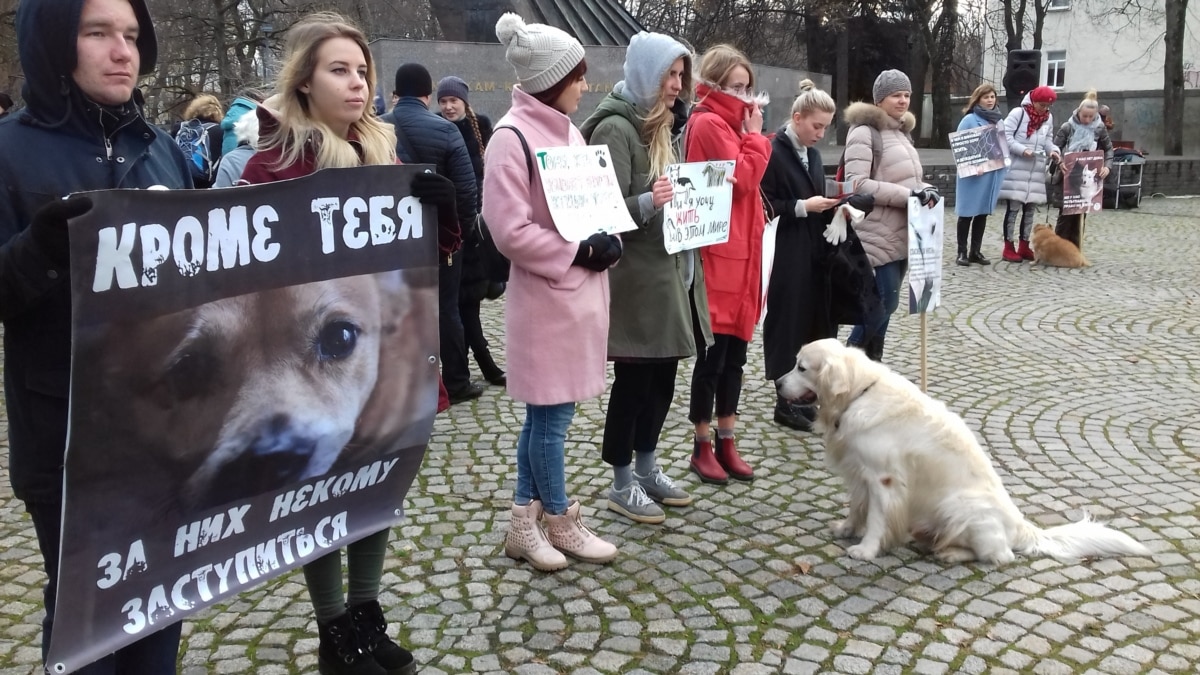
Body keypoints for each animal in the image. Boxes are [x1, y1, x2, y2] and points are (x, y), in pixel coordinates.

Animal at [772, 336, 1147, 562]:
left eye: (801, 367)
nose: (776, 381)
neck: (859, 393)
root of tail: (1021, 526)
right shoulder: (859, 471)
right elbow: (857, 507)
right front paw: (847, 529)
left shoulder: (885, 479)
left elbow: (877, 518)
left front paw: (866, 549)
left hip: (959, 506)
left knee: (1001, 556)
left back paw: (950, 553)